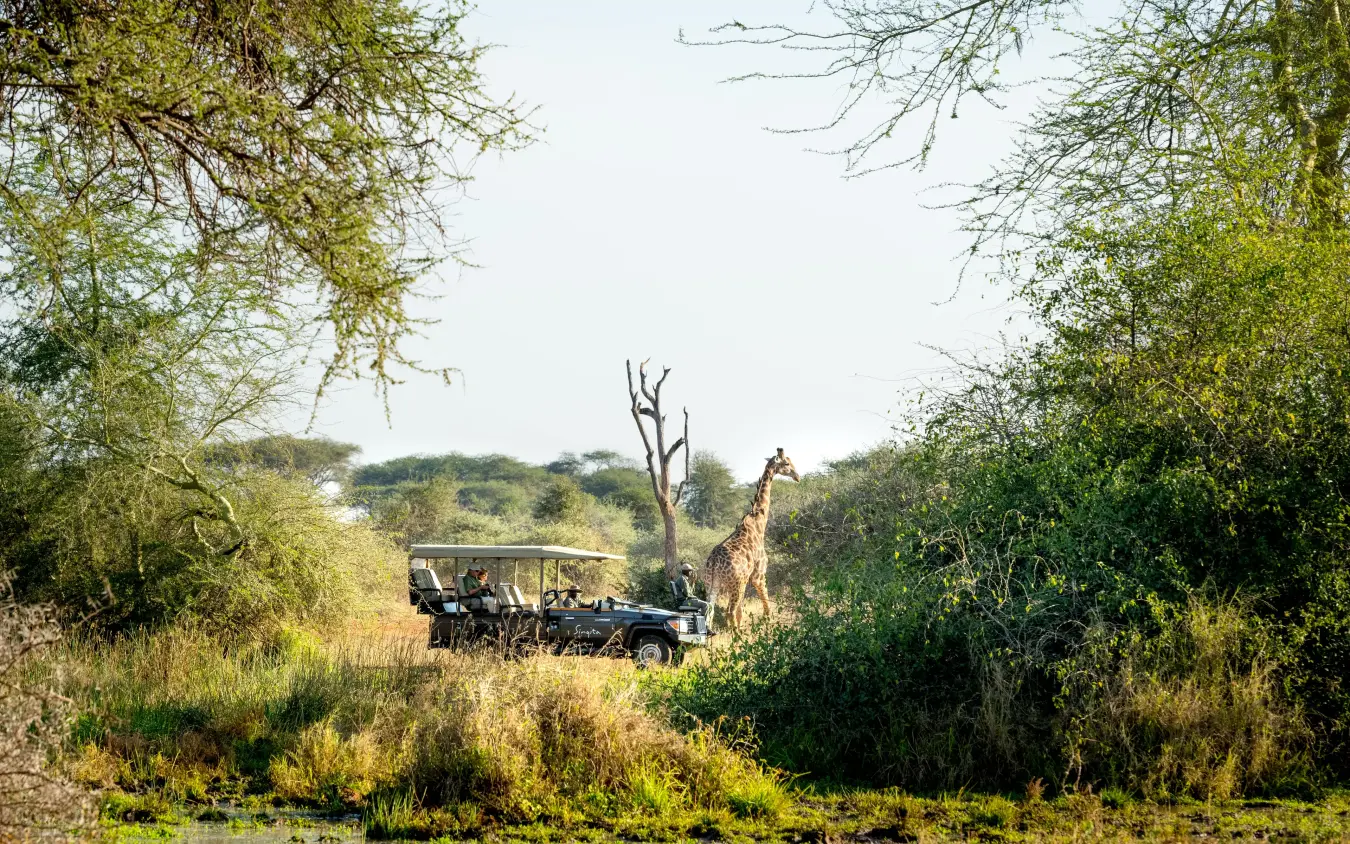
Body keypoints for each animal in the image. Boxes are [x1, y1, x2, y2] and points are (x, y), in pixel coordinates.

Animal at [701, 448, 800, 630]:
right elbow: (766, 606)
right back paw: (737, 635)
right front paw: (768, 626)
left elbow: (741, 613)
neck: (758, 524)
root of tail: (714, 564)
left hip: (711, 583)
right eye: (786, 463)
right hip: (735, 584)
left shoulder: (747, 579)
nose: (797, 476)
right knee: (729, 611)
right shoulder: (758, 575)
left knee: (710, 612)